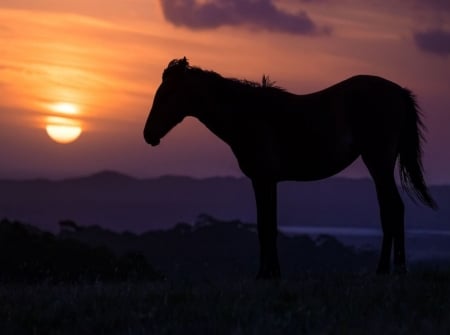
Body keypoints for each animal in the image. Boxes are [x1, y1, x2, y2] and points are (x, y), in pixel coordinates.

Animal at [143, 58, 436, 280]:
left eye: (167, 94)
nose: (148, 135)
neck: (250, 116)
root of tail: (398, 92)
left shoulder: (264, 180)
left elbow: (266, 227)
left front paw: (266, 275)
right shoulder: (265, 181)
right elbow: (267, 225)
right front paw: (271, 273)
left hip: (378, 162)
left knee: (393, 208)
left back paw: (391, 269)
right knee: (389, 209)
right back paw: (389, 269)